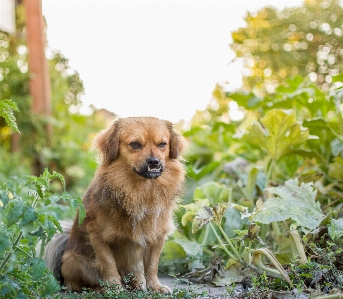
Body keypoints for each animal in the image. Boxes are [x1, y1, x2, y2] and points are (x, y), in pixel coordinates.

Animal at [45, 117, 188, 292]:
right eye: (135, 144)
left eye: (162, 144)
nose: (154, 162)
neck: (140, 191)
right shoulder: (97, 236)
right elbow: (108, 264)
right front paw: (114, 287)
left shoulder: (157, 236)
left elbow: (152, 265)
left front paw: (155, 287)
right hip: (75, 261)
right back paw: (100, 289)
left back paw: (136, 286)